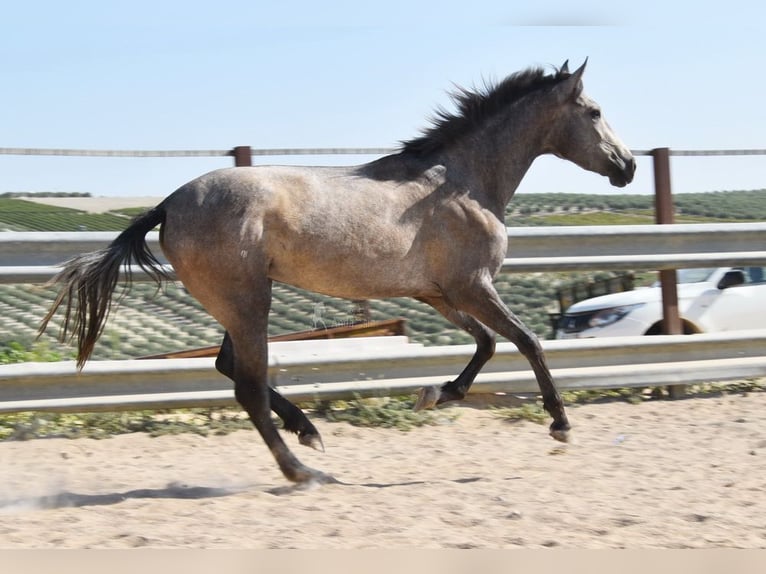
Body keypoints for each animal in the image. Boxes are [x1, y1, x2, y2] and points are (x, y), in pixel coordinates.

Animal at [39, 60, 636, 486]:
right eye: (593, 111)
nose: (627, 166)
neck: (461, 183)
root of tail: (168, 203)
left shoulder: (440, 293)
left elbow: (487, 344)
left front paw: (436, 393)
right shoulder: (472, 286)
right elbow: (527, 341)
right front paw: (560, 424)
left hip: (237, 302)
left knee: (228, 365)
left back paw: (308, 432)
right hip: (249, 300)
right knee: (247, 385)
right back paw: (304, 469)